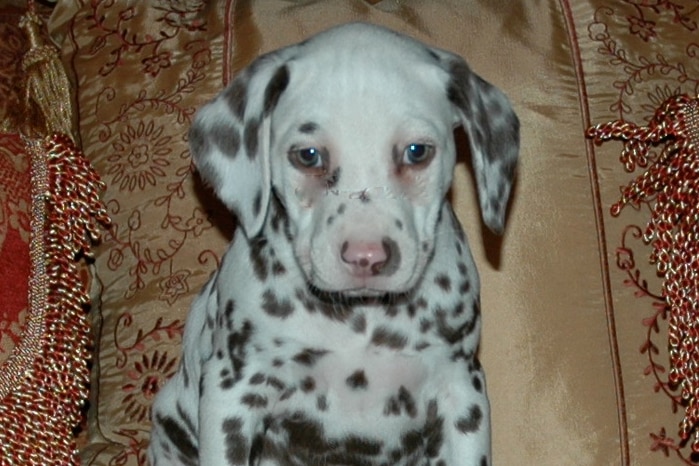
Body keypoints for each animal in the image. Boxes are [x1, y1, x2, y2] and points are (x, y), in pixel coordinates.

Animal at [149, 21, 520, 466]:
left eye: (417, 151)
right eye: (308, 155)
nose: (366, 257)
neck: (360, 323)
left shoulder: (462, 393)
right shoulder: (232, 394)